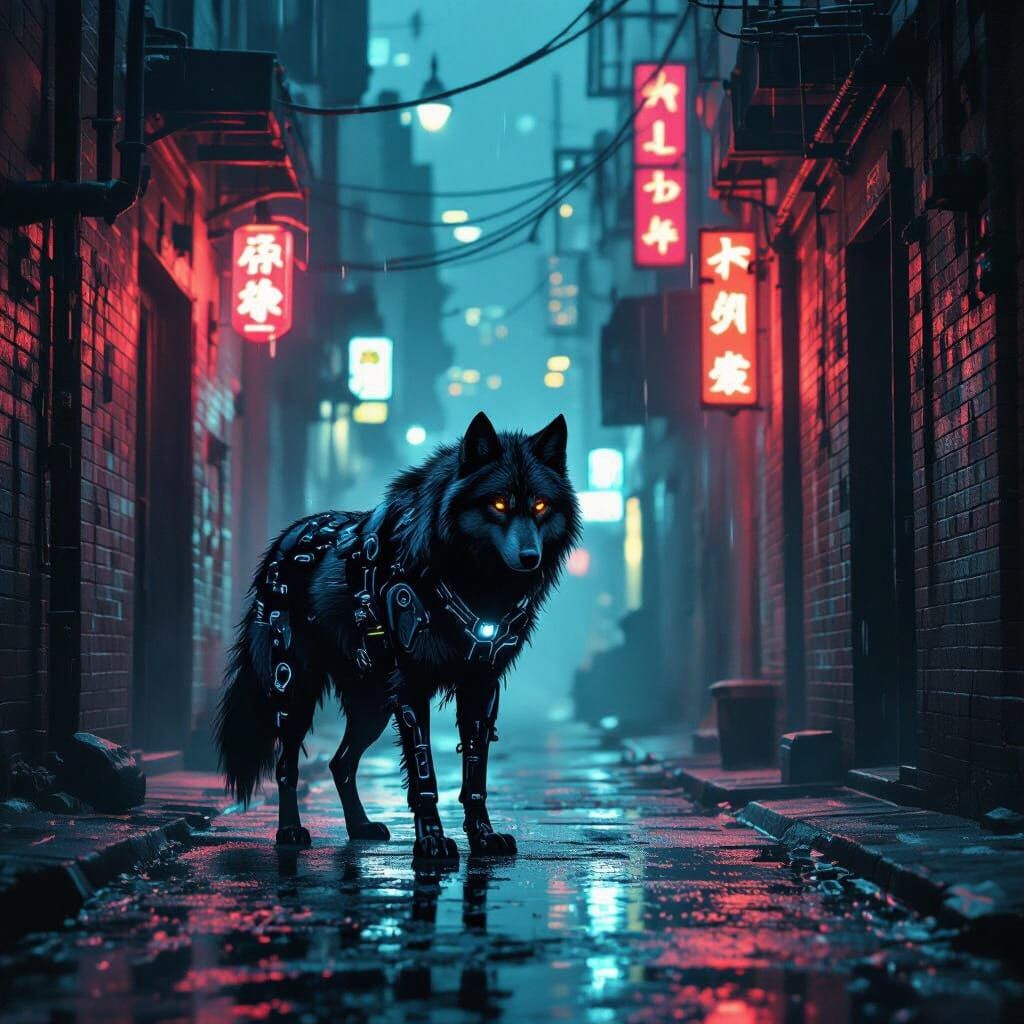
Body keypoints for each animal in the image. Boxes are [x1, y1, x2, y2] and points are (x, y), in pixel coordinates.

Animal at [216, 412, 580, 860]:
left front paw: (482, 835)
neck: (473, 581)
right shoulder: (412, 687)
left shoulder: (481, 686)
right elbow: (424, 775)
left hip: (372, 707)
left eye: (540, 506)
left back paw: (360, 827)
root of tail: (281, 543)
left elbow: (475, 774)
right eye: (498, 505)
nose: (531, 558)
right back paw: (290, 831)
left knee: (340, 763)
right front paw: (432, 840)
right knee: (288, 766)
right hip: (296, 692)